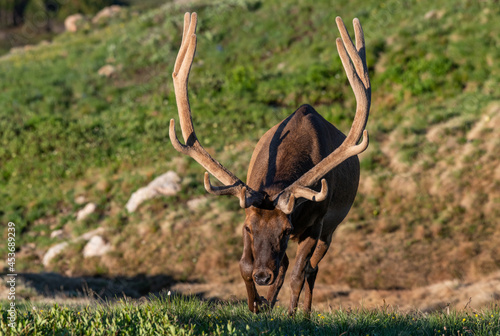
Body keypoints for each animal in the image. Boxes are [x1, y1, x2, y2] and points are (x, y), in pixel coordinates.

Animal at [170, 11, 370, 316]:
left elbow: (299, 273)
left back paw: (304, 313)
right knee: (287, 264)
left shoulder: (316, 223)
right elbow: (244, 266)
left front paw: (291, 315)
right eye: (250, 228)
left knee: (310, 269)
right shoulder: (249, 212)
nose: (263, 276)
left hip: (332, 227)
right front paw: (256, 305)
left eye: (286, 229)